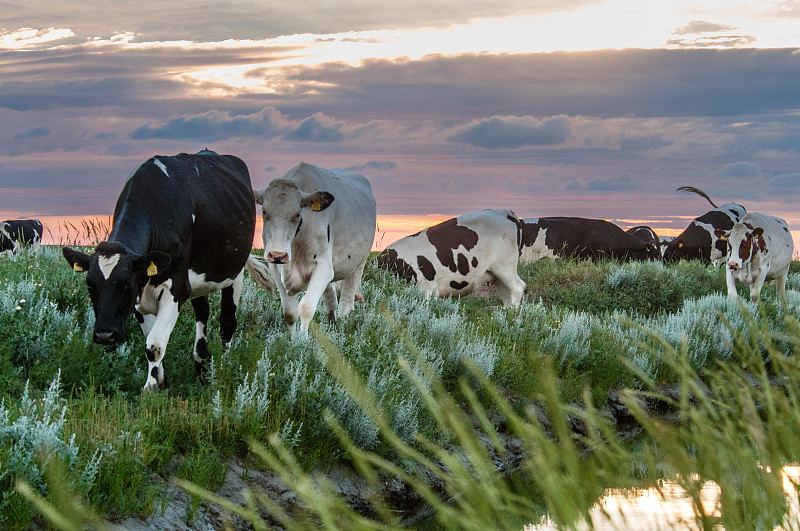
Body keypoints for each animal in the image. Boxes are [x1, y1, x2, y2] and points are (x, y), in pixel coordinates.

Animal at [62, 152, 268, 392]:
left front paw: (150, 388)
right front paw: (161, 380)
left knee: (227, 321)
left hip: (234, 273)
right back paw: (201, 362)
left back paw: (223, 368)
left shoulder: (176, 288)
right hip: (198, 279)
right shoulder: (142, 293)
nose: (105, 335)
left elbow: (154, 344)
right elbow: (149, 338)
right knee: (203, 311)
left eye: (126, 283)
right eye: (89, 284)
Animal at [256, 162, 378, 332]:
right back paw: (332, 321)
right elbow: (289, 312)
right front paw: (292, 338)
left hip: (358, 263)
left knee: (347, 298)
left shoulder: (323, 268)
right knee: (330, 295)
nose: (278, 255)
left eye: (297, 214)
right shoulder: (274, 268)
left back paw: (343, 325)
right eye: (264, 212)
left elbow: (306, 307)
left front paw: (302, 338)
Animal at [378, 209, 528, 308]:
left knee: (517, 287)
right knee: (507, 293)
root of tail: (505, 212)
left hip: (504, 265)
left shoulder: (426, 289)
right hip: (495, 273)